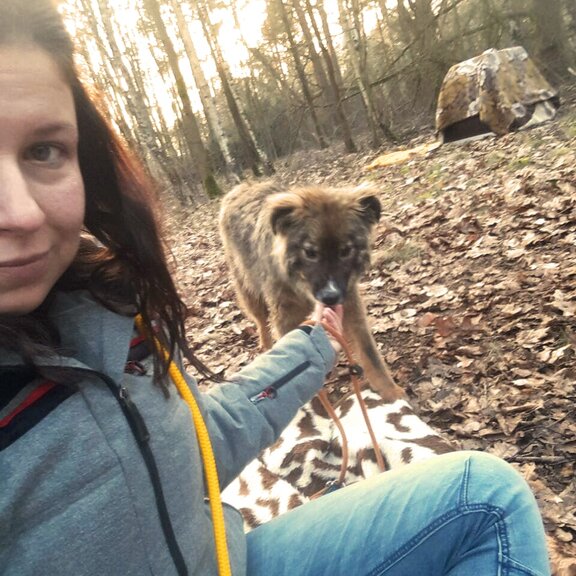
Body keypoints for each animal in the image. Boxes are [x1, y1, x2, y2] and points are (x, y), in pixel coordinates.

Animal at [219, 180, 404, 402]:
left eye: (345, 251)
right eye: (310, 252)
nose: (330, 297)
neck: (303, 288)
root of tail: (241, 187)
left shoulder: (350, 303)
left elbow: (370, 353)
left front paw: (391, 392)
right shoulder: (286, 318)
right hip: (249, 289)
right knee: (261, 321)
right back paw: (265, 343)